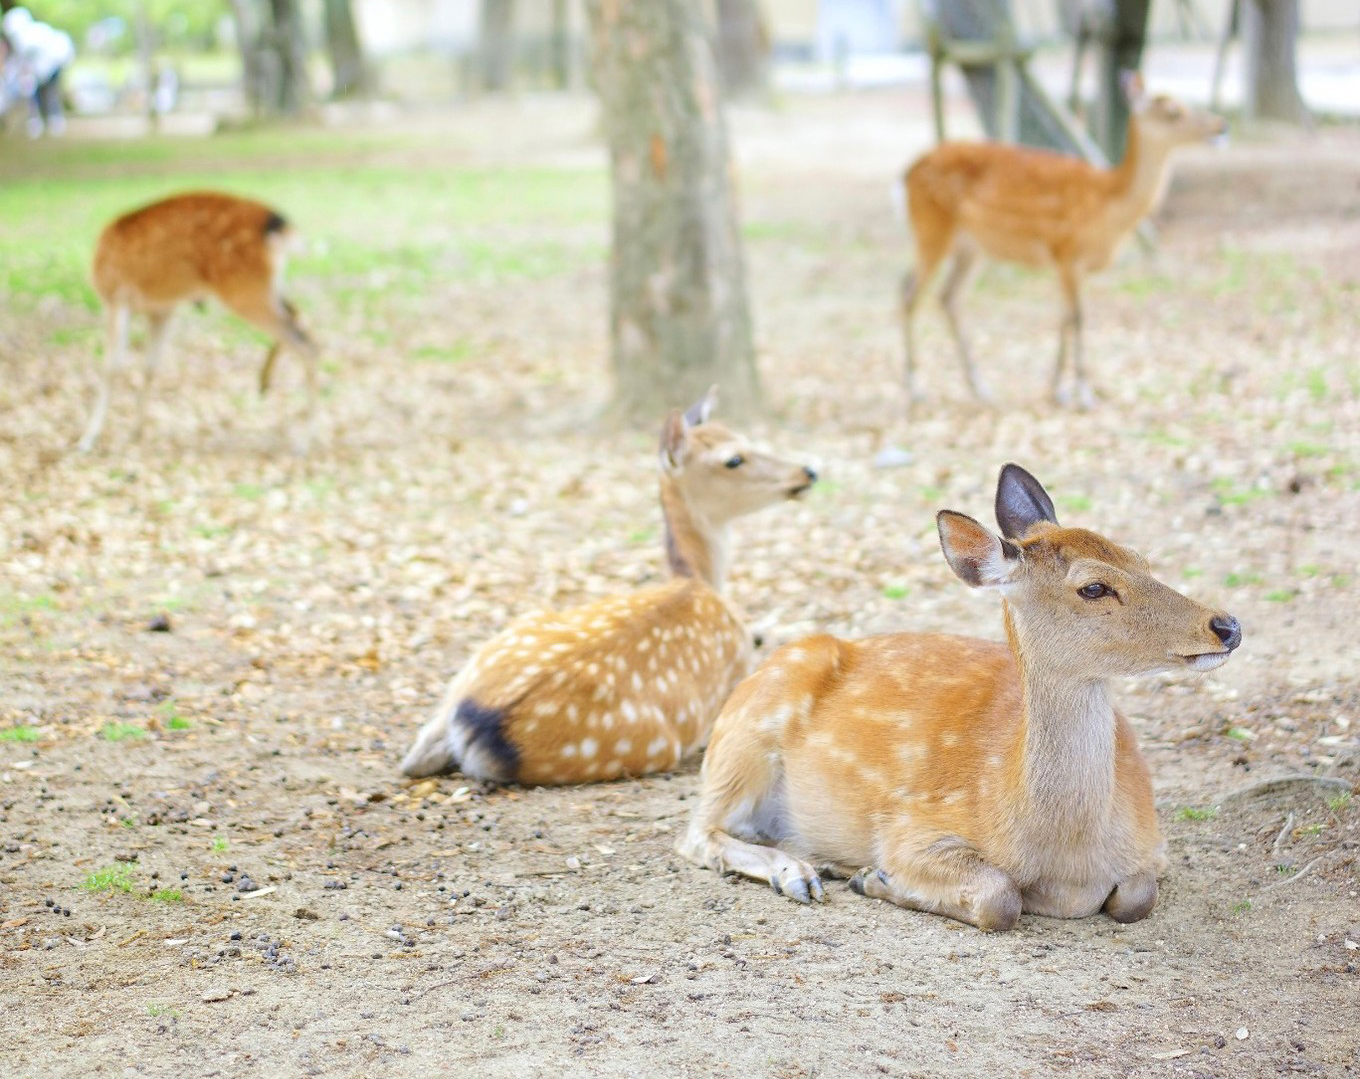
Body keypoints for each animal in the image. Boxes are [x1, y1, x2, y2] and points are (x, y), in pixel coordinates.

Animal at [80, 189, 319, 451]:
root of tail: (279, 226)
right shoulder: (161, 310)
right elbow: (150, 366)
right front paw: (136, 431)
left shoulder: (115, 298)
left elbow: (111, 368)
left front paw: (88, 438)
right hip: (267, 287)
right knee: (299, 320)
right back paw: (265, 384)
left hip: (244, 287)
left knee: (305, 343)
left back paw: (305, 440)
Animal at [397, 386, 816, 783]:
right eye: (734, 459)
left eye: (744, 437)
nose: (807, 471)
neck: (699, 580)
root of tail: (477, 724)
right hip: (647, 745)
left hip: (494, 648)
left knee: (414, 758)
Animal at [680, 459, 1245, 925]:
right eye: (1094, 587)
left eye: (1141, 558)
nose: (1227, 625)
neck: (1067, 863)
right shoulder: (910, 827)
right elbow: (1000, 897)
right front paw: (874, 878)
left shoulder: (1153, 843)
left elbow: (1136, 897)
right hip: (743, 740)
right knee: (698, 832)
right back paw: (799, 873)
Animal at [897, 72, 1229, 408]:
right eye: (1173, 112)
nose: (1220, 126)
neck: (1107, 204)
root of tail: (908, 172)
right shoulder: (1066, 251)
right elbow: (1078, 317)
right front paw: (1083, 392)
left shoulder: (1067, 264)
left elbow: (1065, 317)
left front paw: (1057, 388)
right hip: (931, 229)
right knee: (910, 292)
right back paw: (915, 387)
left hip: (970, 247)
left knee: (947, 296)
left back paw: (980, 387)